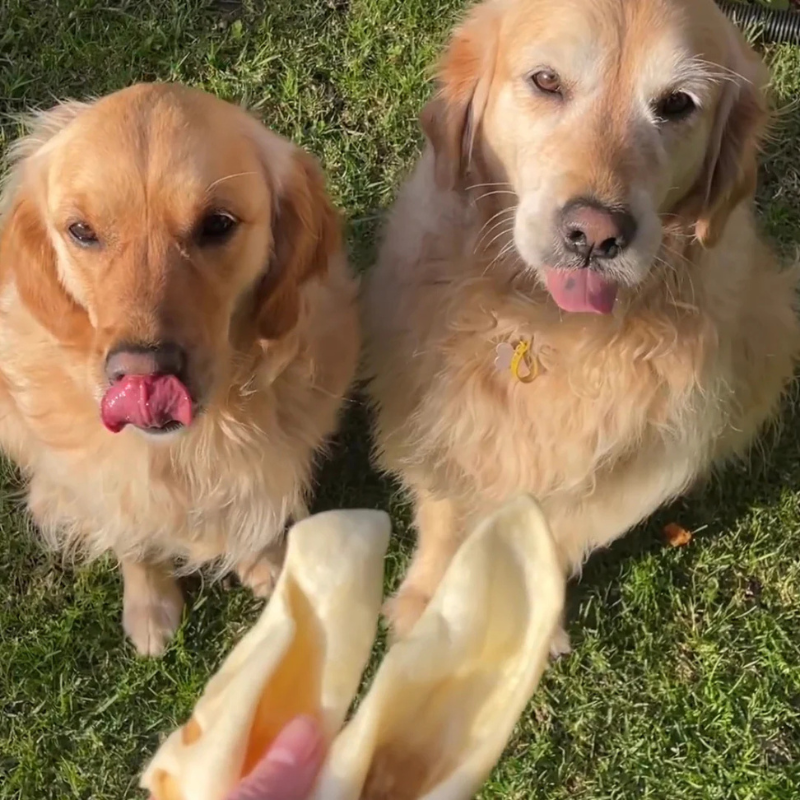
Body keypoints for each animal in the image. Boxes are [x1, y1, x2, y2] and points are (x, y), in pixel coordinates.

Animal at [0, 83, 360, 655]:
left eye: (218, 224)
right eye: (81, 231)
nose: (143, 373)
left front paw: (265, 563)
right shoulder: (105, 486)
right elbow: (135, 539)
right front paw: (150, 606)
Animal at [363, 0, 800, 650]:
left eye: (678, 104)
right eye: (547, 82)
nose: (594, 234)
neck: (548, 326)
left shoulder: (637, 467)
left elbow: (559, 535)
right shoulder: (438, 427)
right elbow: (445, 512)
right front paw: (424, 604)